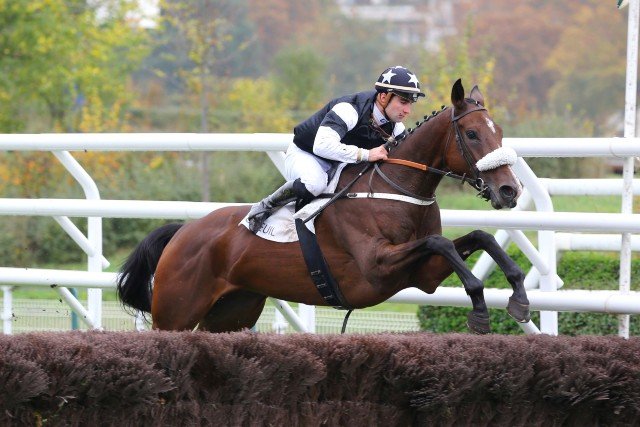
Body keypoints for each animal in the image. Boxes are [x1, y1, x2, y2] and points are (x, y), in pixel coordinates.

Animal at [116, 79, 530, 334]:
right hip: (175, 312)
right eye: (472, 134)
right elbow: (441, 243)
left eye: (499, 132)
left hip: (232, 312)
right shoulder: (376, 266)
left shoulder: (422, 276)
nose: (510, 190)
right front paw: (480, 312)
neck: (396, 189)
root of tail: (183, 231)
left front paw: (518, 297)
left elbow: (478, 237)